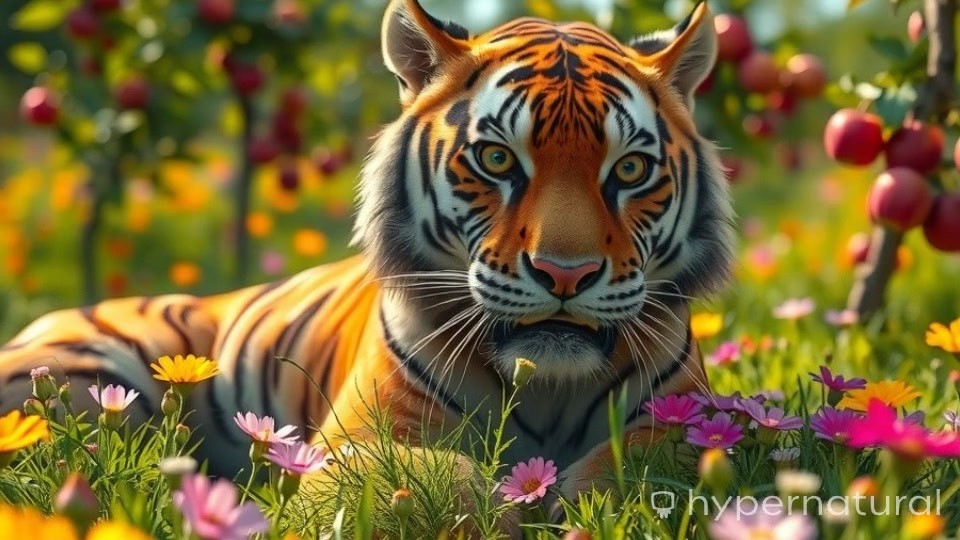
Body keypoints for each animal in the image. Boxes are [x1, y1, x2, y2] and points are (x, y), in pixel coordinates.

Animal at [0, 0, 732, 506]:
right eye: (497, 159)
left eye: (630, 170)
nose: (565, 274)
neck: (546, 386)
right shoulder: (360, 434)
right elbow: (432, 477)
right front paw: (495, 510)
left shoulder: (685, 415)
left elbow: (631, 470)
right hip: (85, 380)